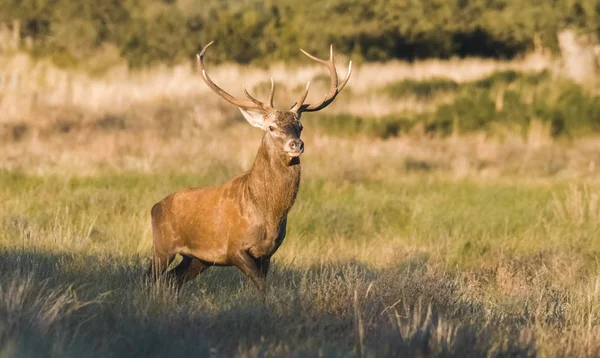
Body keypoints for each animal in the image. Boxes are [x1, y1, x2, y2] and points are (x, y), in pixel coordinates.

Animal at [146, 42, 352, 298]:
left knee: (173, 280)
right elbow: (260, 284)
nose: (296, 145)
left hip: (197, 258)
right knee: (149, 276)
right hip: (162, 246)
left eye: (300, 126)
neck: (267, 214)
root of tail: (154, 207)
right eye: (271, 127)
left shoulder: (267, 253)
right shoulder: (234, 247)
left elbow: (262, 285)